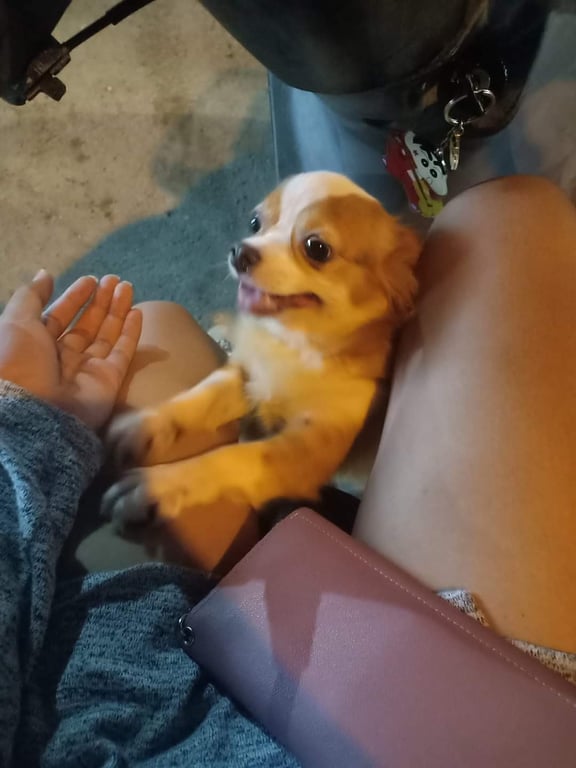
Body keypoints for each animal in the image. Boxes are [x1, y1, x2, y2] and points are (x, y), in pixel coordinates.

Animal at [101, 171, 421, 528]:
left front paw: (158, 485)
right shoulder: (248, 378)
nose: (240, 250)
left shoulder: (306, 451)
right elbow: (198, 398)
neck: (296, 341)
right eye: (254, 223)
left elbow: (234, 457)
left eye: (316, 248)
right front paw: (143, 425)